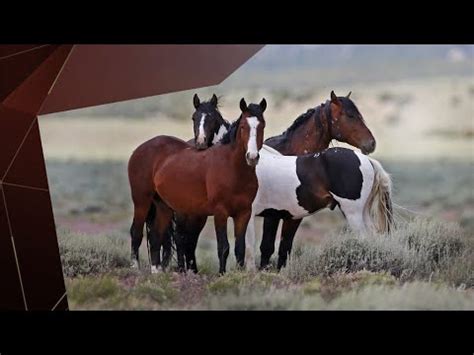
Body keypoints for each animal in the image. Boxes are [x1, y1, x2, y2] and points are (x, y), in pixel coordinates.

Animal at [127, 93, 229, 268]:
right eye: (194, 117)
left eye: (212, 117)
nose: (201, 142)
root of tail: (140, 149)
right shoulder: (184, 212)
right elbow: (182, 239)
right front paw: (183, 268)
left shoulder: (199, 214)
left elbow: (190, 241)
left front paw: (192, 269)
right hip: (141, 200)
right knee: (136, 231)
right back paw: (135, 267)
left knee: (159, 235)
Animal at [150, 98, 266, 274]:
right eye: (243, 127)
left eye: (262, 126)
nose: (252, 157)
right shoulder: (220, 212)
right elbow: (223, 247)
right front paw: (222, 274)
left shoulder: (244, 213)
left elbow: (240, 248)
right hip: (181, 211)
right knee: (180, 237)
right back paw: (182, 270)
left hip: (192, 214)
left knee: (187, 239)